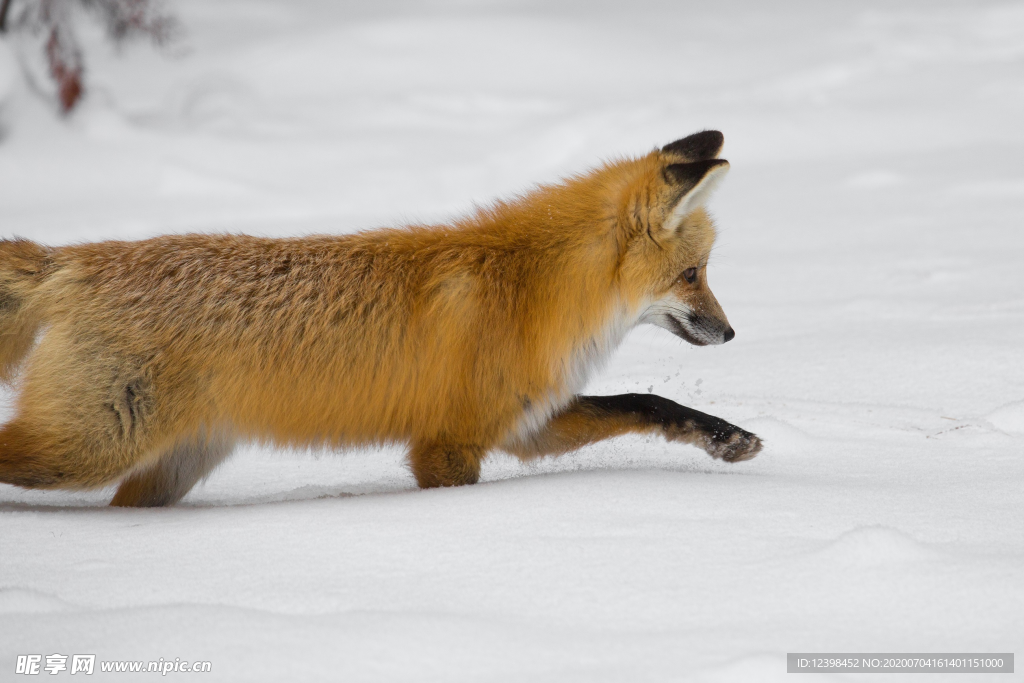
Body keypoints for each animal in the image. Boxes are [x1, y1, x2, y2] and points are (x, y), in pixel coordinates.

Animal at [0, 132, 761, 507]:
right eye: (693, 275)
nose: (730, 333)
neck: (532, 286)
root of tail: (75, 260)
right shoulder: (446, 446)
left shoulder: (523, 423)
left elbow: (646, 401)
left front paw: (726, 438)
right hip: (89, 447)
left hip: (169, 466)